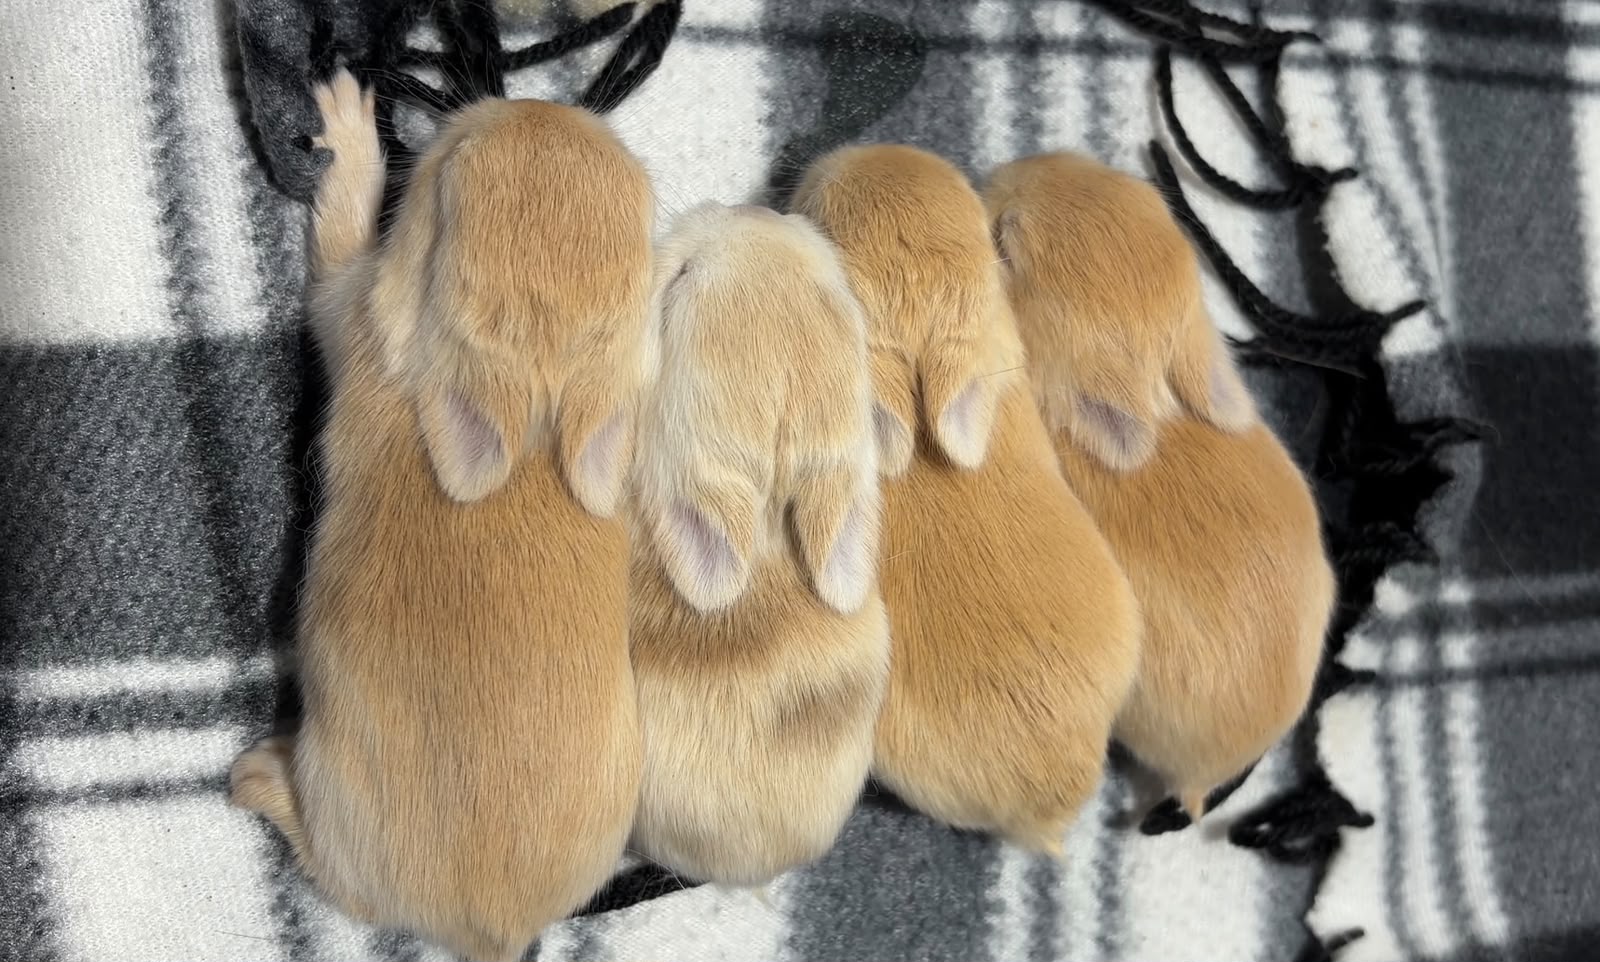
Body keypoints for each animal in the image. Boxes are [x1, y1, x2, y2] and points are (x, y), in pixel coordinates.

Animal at [228, 69, 654, 962]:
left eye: (450, 168)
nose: (539, 106)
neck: (537, 365)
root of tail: (488, 927)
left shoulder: (350, 302)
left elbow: (341, 233)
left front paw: (348, 122)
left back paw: (254, 777)